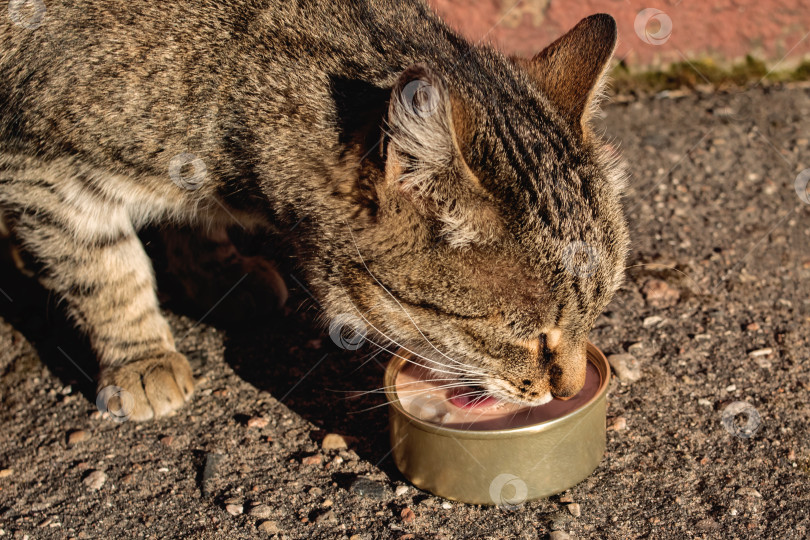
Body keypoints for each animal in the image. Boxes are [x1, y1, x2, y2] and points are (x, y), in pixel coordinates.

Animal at [0, 0, 624, 422]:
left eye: (595, 314)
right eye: (533, 337)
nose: (569, 390)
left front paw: (215, 269)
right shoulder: (39, 168)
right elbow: (104, 269)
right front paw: (141, 355)